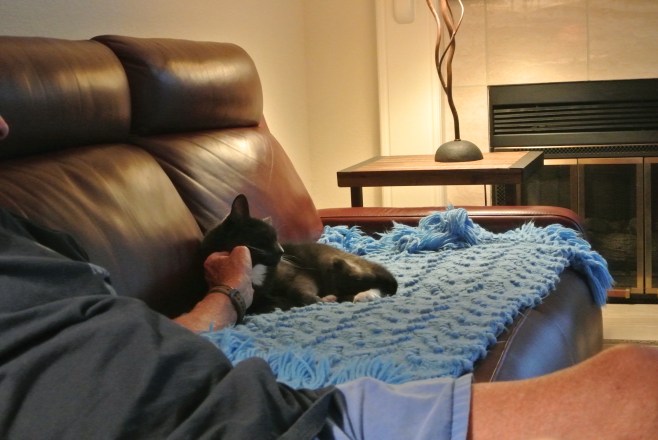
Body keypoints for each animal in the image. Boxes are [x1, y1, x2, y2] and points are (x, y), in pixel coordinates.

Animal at [200, 194, 398, 314]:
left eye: (277, 238)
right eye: (266, 236)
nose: (281, 251)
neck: (256, 272)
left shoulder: (298, 275)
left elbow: (300, 291)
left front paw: (320, 300)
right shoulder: (256, 300)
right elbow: (271, 304)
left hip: (336, 267)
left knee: (381, 282)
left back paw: (365, 294)